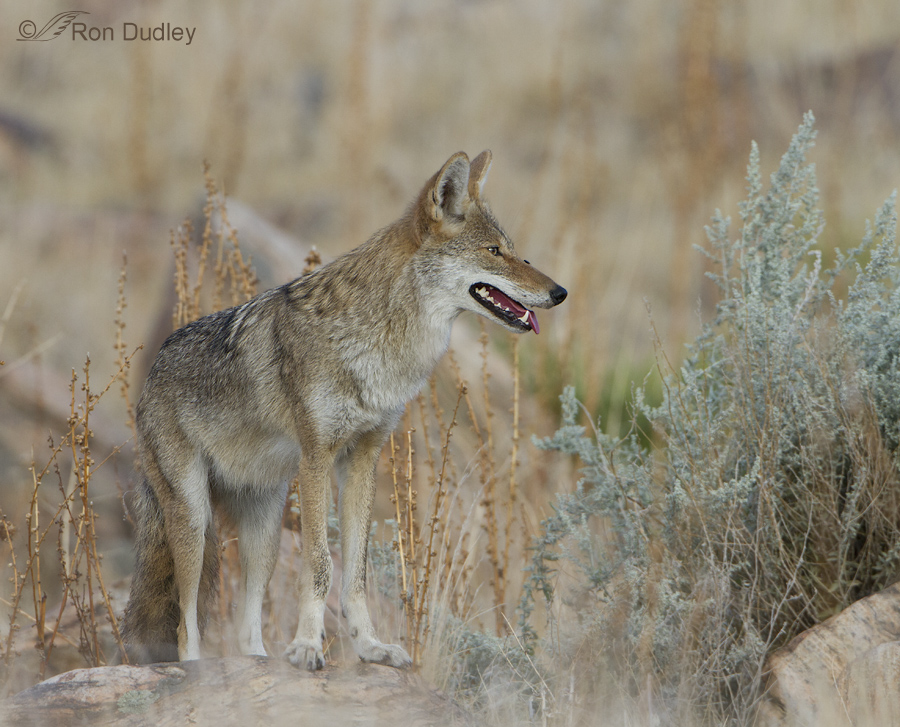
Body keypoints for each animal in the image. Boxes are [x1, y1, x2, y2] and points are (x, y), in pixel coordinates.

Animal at [121, 150, 567, 670]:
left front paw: (369, 646)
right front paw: (307, 647)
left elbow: (356, 572)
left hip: (264, 531)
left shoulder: (363, 458)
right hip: (195, 520)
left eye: (513, 250)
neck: (381, 341)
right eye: (494, 252)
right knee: (186, 623)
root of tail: (150, 373)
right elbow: (320, 566)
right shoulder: (317, 458)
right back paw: (197, 670)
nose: (559, 292)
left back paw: (260, 661)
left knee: (246, 624)